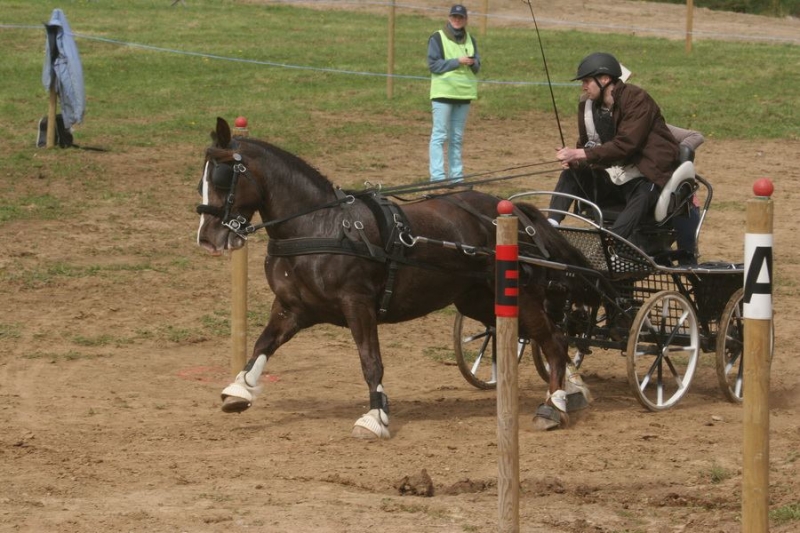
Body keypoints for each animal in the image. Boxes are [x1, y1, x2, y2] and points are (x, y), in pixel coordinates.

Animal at [195, 117, 592, 436]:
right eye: (201, 180)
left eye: (223, 177)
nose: (207, 238)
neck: (319, 226)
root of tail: (518, 214)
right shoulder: (293, 307)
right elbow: (264, 344)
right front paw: (239, 389)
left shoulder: (358, 305)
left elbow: (370, 361)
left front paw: (375, 416)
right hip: (479, 301)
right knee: (540, 336)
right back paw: (571, 390)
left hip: (520, 296)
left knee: (554, 340)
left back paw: (553, 404)